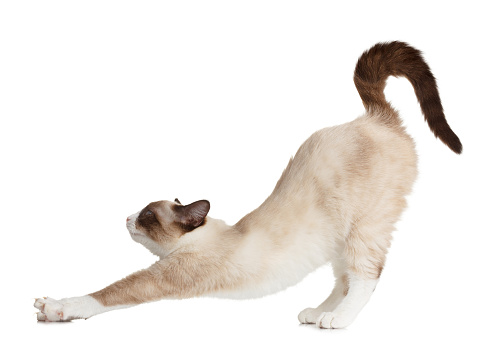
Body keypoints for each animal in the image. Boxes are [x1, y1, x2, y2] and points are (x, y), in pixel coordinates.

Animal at [34, 41, 464, 330]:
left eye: (146, 216)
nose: (125, 217)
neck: (201, 239)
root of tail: (374, 116)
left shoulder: (164, 278)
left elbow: (108, 293)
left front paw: (54, 307)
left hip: (364, 227)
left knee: (366, 277)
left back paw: (336, 320)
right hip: (337, 238)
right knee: (343, 279)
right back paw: (317, 313)